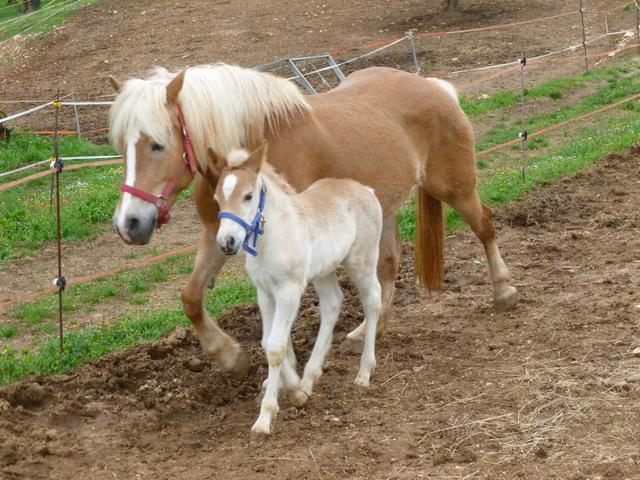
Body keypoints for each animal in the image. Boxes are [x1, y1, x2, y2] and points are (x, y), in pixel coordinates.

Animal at [109, 63, 516, 374]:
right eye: (121, 147)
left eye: (158, 144)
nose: (129, 224)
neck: (253, 153)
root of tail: (434, 85)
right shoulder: (217, 234)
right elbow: (191, 298)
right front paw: (229, 356)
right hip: (382, 212)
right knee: (386, 266)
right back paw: (370, 330)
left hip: (455, 188)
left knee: (485, 226)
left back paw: (504, 291)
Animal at [210, 144, 382, 434]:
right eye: (217, 198)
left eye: (248, 195)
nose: (227, 241)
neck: (272, 237)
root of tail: (366, 190)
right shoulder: (264, 292)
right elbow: (268, 342)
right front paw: (294, 389)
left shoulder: (289, 291)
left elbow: (275, 347)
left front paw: (265, 418)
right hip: (323, 271)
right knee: (333, 304)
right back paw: (310, 377)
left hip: (362, 262)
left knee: (373, 302)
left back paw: (364, 373)